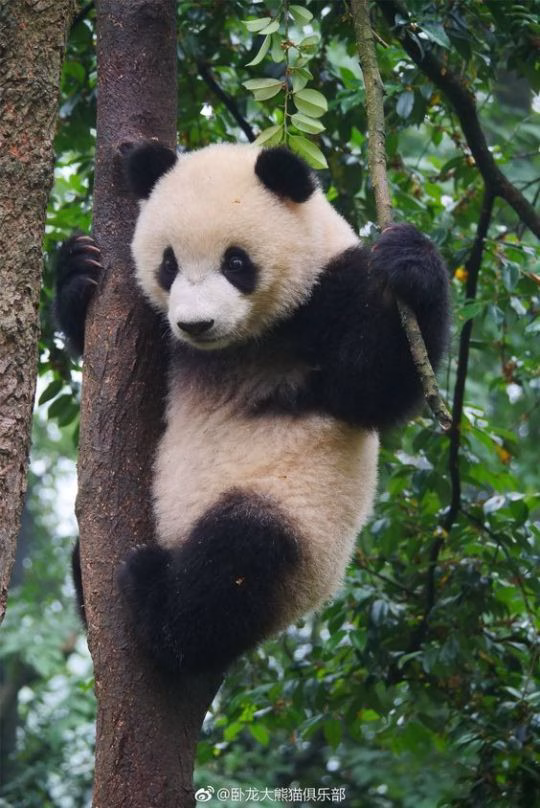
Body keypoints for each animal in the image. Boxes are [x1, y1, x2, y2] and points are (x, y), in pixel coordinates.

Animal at [55, 142, 449, 675]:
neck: (238, 342)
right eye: (168, 264)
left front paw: (412, 263)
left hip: (298, 521)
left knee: (238, 559)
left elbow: (370, 389)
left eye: (236, 262)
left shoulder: (330, 292)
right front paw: (77, 269)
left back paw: (158, 601)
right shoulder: (164, 334)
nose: (196, 324)